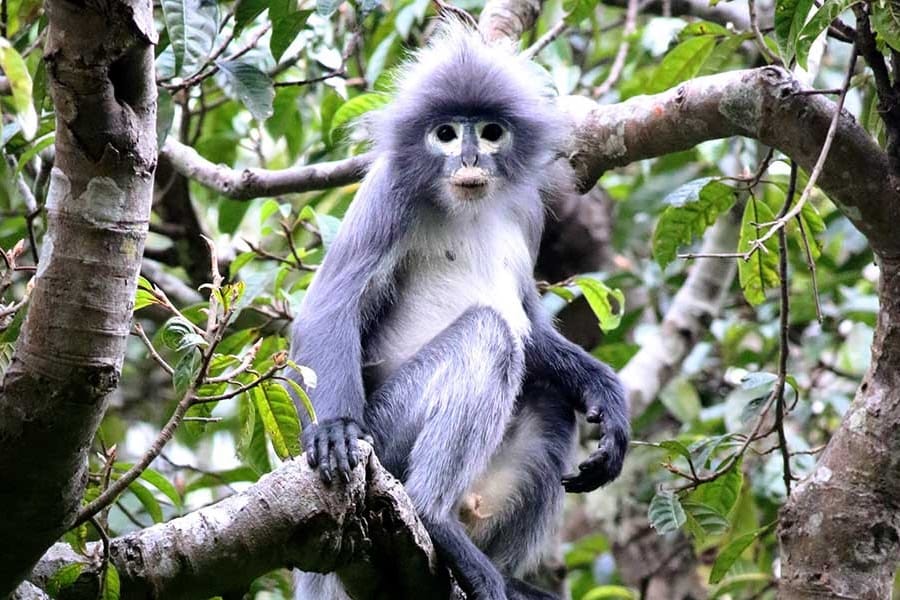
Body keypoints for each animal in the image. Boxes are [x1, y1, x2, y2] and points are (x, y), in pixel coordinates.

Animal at [292, 21, 628, 596]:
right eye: (446, 134)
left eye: (490, 132)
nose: (469, 159)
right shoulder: (389, 192)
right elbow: (328, 307)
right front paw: (333, 428)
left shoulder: (527, 210)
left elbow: (531, 324)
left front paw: (607, 395)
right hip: (387, 436)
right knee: (488, 334)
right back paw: (434, 517)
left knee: (548, 392)